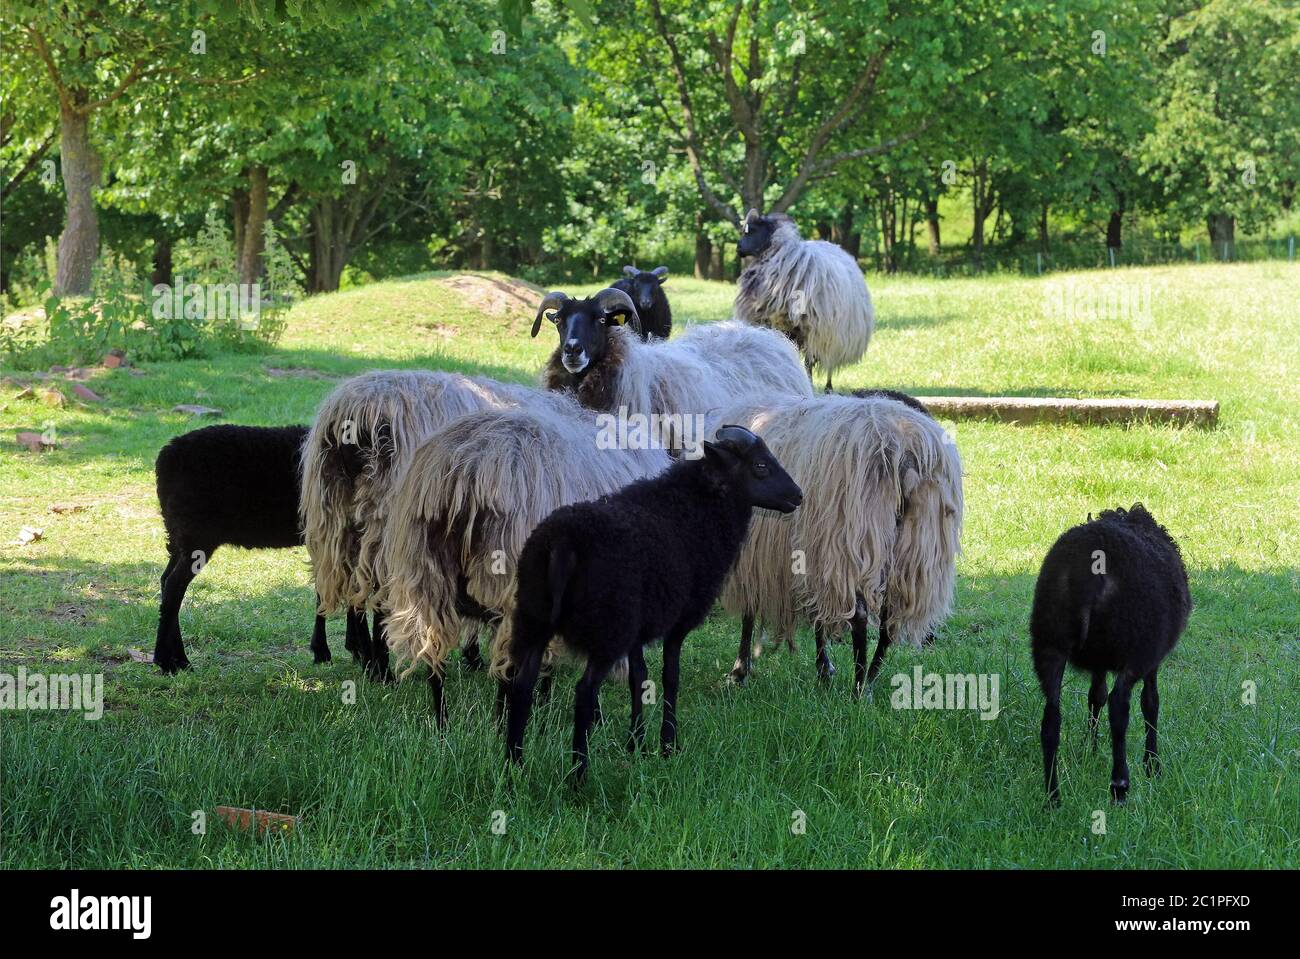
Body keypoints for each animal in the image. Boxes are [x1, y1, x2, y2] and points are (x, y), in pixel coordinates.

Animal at [153, 426, 366, 670]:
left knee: (166, 581)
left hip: (179, 535)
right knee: (174, 586)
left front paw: (340, 649)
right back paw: (167, 661)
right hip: (197, 535)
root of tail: (166, 456)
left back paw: (176, 658)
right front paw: (338, 650)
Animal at [504, 423, 800, 779]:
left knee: (522, 685)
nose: (798, 495)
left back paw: (513, 769)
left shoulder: (638, 626)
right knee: (584, 692)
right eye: (761, 466)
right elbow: (671, 677)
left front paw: (636, 744)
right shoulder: (677, 622)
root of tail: (563, 542)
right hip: (607, 626)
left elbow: (638, 677)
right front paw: (668, 745)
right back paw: (579, 776)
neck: (697, 506)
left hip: (534, 618)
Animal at [1029, 504, 1190, 805]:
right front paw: (1152, 765)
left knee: (1051, 719)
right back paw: (1119, 785)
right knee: (1119, 706)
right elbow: (1151, 703)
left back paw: (1053, 797)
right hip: (1135, 646)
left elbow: (1095, 697)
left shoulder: (1099, 661)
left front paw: (1090, 750)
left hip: (1049, 644)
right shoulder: (1151, 658)